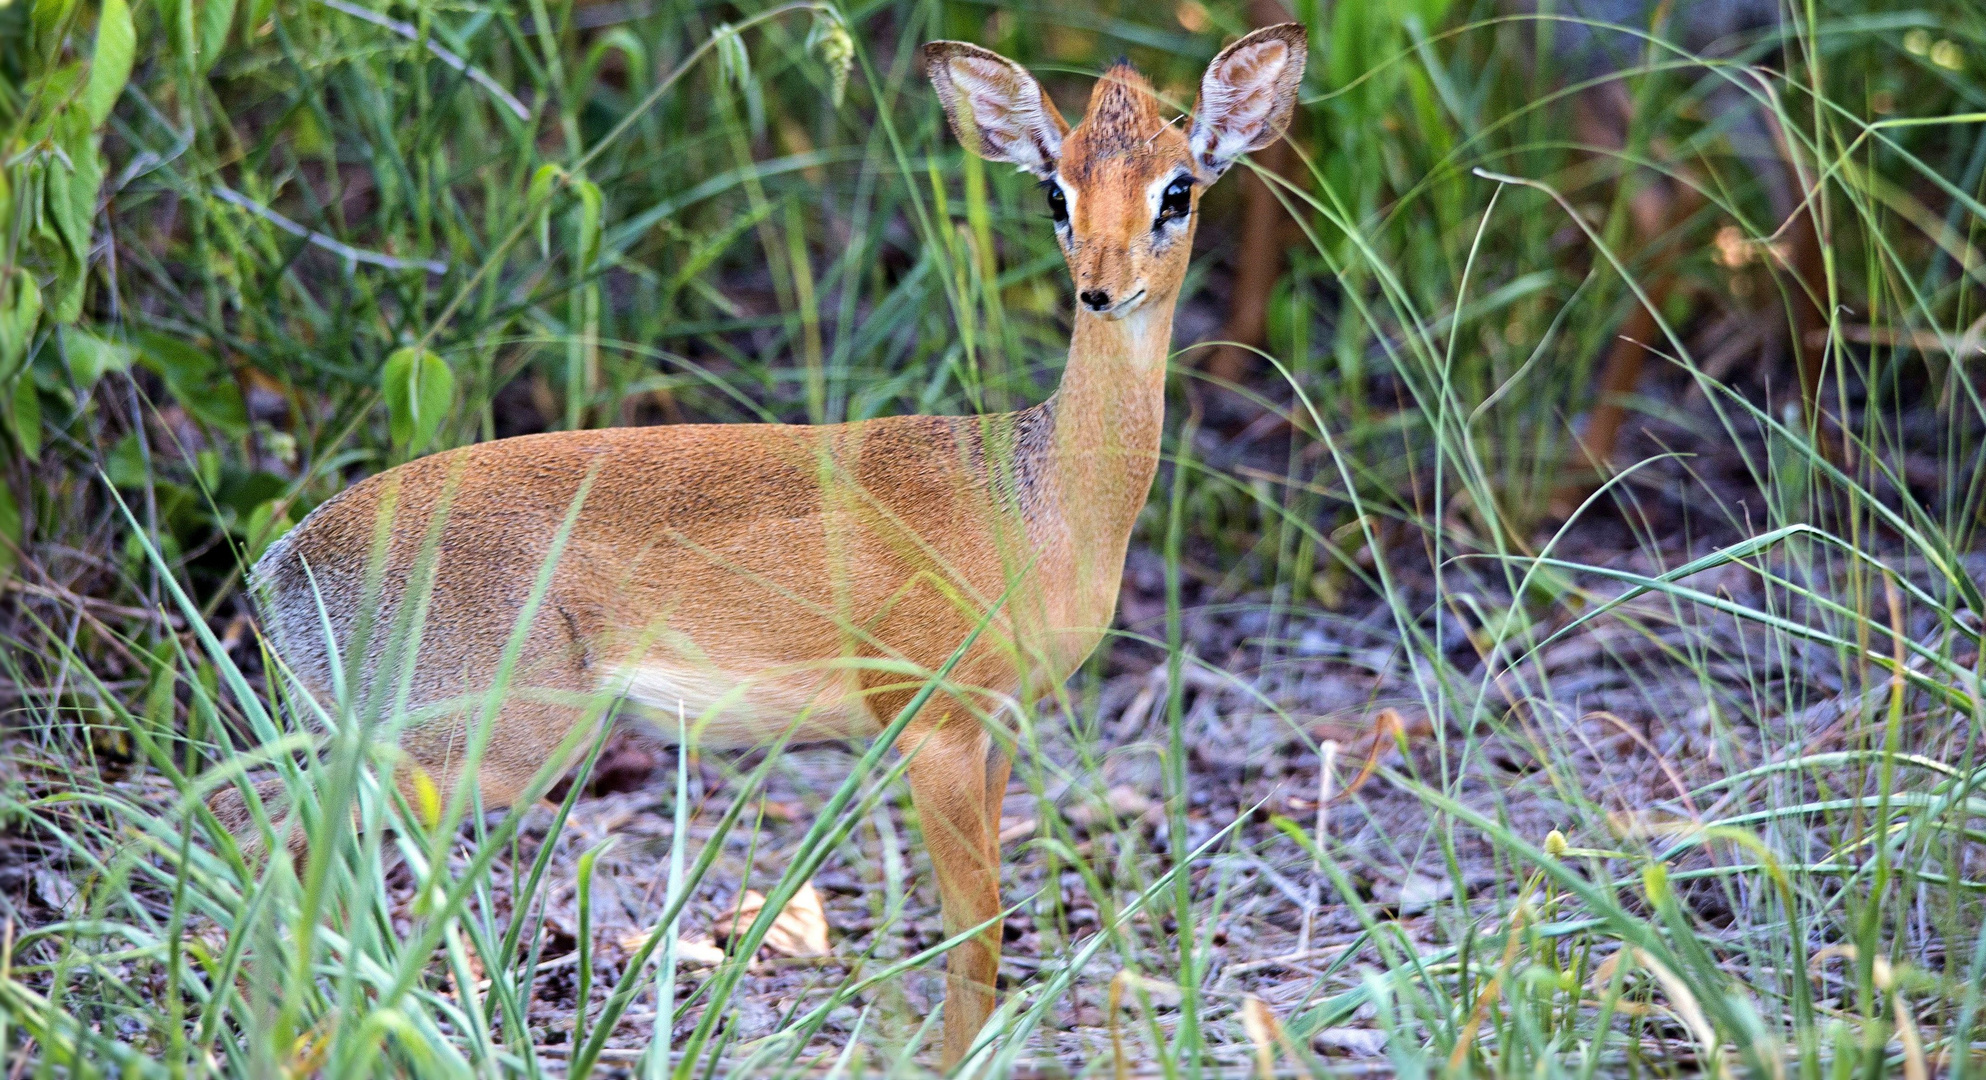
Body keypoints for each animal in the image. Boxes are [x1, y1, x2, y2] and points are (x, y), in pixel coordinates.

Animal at [240, 23, 1302, 1064]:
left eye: (1178, 188)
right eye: (1056, 189)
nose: (1100, 290)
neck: (1037, 499)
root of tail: (285, 562)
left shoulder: (1002, 725)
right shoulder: (933, 724)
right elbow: (976, 928)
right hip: (472, 746)